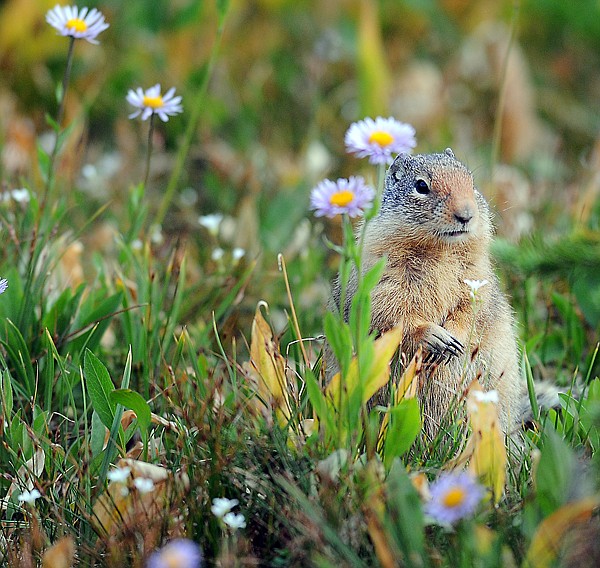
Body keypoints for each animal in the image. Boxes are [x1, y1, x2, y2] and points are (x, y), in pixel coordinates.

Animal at [328, 149, 524, 438]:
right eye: (421, 186)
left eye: (471, 182)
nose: (466, 215)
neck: (439, 249)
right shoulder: (383, 277)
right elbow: (392, 315)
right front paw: (434, 336)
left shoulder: (477, 277)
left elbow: (470, 309)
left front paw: (455, 339)